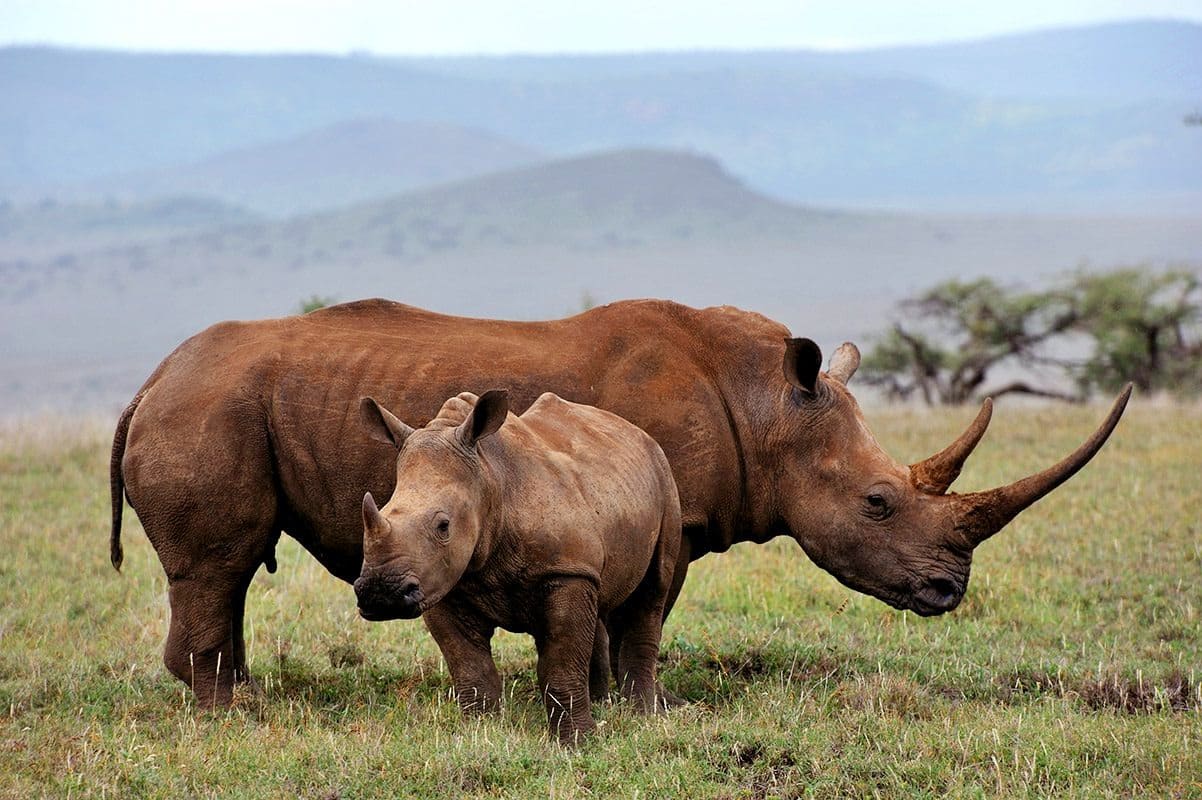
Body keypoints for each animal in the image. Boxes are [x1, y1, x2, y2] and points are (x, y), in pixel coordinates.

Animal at [109, 299, 1131, 707]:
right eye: (879, 503)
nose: (950, 592)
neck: (767, 405)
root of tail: (149, 379)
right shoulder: (663, 512)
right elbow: (635, 616)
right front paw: (626, 701)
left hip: (216, 403)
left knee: (231, 574)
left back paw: (246, 699)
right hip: (207, 409)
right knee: (216, 565)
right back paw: (235, 716)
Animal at [354, 389, 681, 744]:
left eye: (443, 526)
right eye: (383, 510)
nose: (381, 593)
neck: (490, 479)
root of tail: (634, 431)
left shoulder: (565, 570)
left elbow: (561, 663)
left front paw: (577, 742)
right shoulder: (440, 582)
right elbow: (470, 667)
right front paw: (479, 733)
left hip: (664, 478)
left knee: (652, 591)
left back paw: (643, 715)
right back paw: (601, 704)